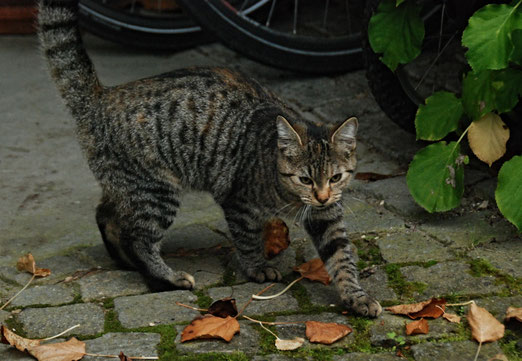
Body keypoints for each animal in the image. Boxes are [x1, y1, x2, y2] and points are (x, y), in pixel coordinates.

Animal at [37, 0, 378, 316]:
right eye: (304, 179)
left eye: (335, 177)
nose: (321, 196)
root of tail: (101, 96)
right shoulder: (239, 203)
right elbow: (247, 238)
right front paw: (256, 267)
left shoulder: (328, 215)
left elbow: (341, 257)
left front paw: (355, 296)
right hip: (156, 190)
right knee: (139, 238)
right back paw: (165, 278)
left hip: (127, 186)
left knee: (106, 215)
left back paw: (125, 261)